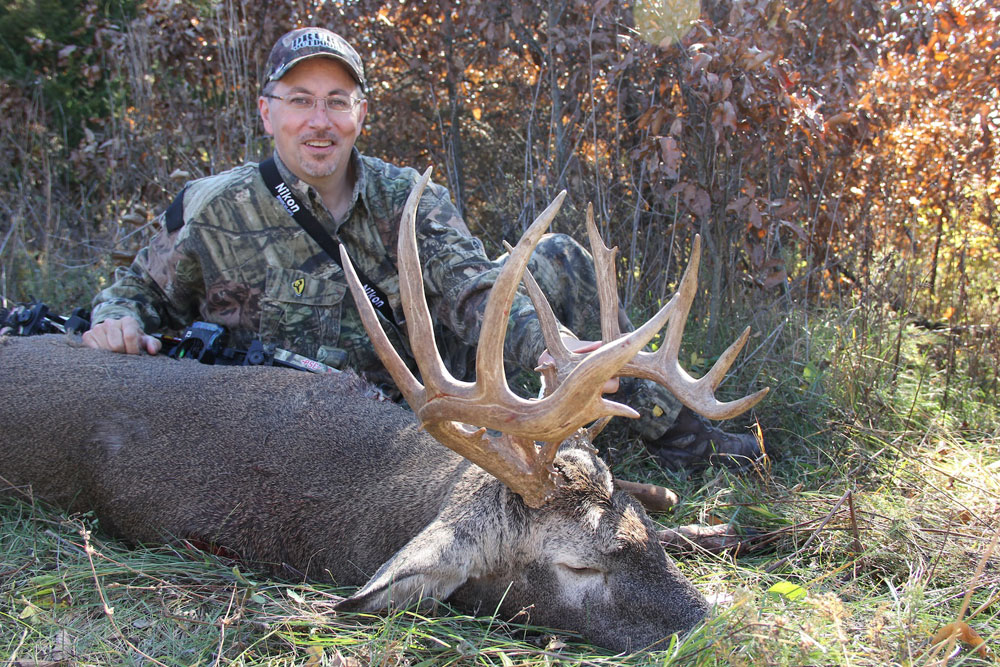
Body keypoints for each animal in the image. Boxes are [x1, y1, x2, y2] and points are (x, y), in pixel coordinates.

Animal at [0, 170, 768, 656]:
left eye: (642, 538)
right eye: (578, 569)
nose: (712, 627)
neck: (381, 474)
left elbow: (675, 503)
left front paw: (728, 524)